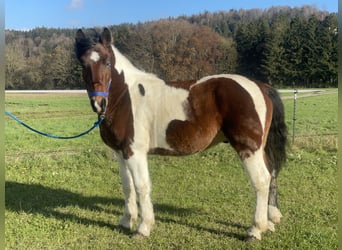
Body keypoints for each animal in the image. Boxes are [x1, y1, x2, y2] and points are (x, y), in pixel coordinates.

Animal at [74, 27, 286, 240]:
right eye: (83, 64)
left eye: (107, 62)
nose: (99, 104)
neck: (125, 98)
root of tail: (261, 86)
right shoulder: (121, 153)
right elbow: (127, 186)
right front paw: (127, 221)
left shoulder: (135, 153)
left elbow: (142, 186)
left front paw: (143, 228)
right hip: (259, 149)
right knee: (271, 174)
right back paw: (269, 223)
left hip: (249, 148)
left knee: (261, 180)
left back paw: (256, 230)